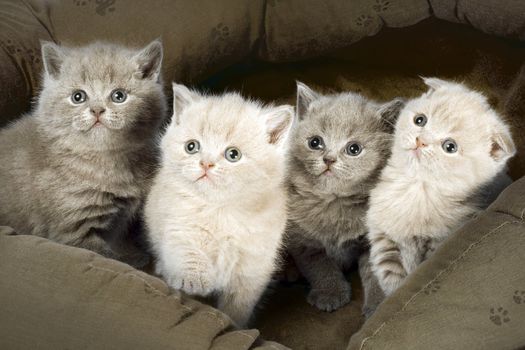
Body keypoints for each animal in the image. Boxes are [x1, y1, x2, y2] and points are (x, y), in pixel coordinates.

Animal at [0, 39, 166, 266]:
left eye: (119, 96)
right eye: (78, 97)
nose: (97, 110)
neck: (105, 161)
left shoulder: (121, 219)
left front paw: (134, 257)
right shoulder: (75, 228)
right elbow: (103, 257)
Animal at [144, 83, 294, 326]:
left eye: (233, 154)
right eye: (192, 147)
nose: (206, 163)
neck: (221, 212)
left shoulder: (253, 266)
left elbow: (238, 305)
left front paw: (235, 324)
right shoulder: (177, 224)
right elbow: (186, 250)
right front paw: (194, 280)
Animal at [284, 82, 404, 312]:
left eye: (353, 149)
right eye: (315, 142)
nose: (328, 159)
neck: (335, 202)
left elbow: (375, 271)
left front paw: (377, 304)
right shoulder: (303, 241)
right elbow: (319, 266)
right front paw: (330, 293)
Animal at [366, 78, 512, 296]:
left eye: (450, 147)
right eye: (420, 120)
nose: (421, 141)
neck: (415, 189)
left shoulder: (440, 242)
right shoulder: (384, 237)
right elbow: (392, 277)